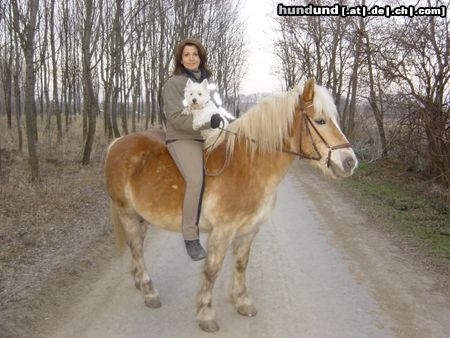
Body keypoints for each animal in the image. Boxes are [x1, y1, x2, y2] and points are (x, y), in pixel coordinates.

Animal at [103, 78, 356, 332]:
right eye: (320, 121)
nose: (350, 162)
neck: (248, 165)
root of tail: (117, 142)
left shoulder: (249, 231)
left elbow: (242, 264)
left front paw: (242, 302)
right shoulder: (222, 232)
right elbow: (212, 271)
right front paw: (206, 315)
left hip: (142, 216)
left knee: (137, 246)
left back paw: (138, 280)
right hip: (126, 211)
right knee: (136, 246)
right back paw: (149, 291)